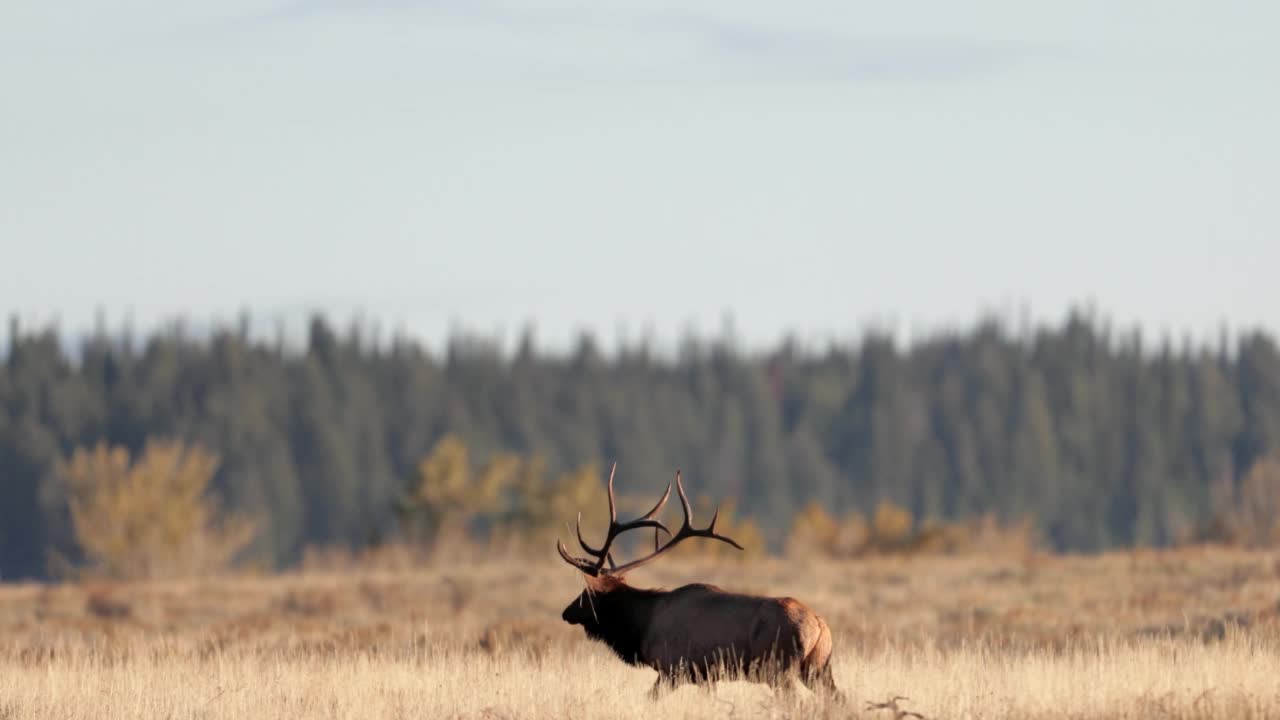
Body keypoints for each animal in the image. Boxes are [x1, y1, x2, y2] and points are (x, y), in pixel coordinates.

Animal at [558, 461, 839, 696]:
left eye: (587, 594)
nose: (566, 612)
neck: (642, 626)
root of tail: (820, 626)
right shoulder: (707, 676)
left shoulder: (674, 668)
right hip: (818, 669)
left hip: (779, 670)